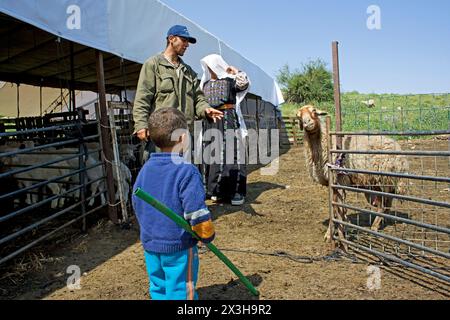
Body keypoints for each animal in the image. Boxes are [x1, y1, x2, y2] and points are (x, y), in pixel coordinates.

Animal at [298, 105, 410, 242]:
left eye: (314, 111)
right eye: (298, 116)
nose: (307, 123)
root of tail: (401, 154)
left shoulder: (338, 180)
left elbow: (336, 208)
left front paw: (330, 234)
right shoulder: (332, 183)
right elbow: (336, 207)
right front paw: (342, 226)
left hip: (384, 179)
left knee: (384, 205)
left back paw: (374, 227)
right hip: (378, 183)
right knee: (384, 204)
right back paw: (377, 224)